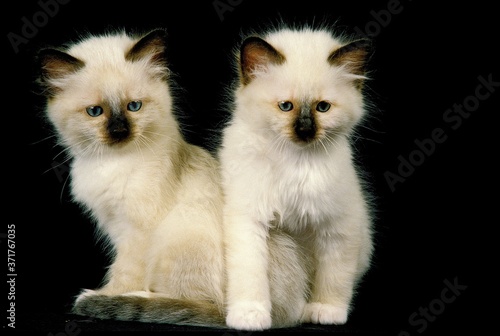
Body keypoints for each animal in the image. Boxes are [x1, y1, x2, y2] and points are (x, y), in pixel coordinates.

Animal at [36, 27, 308, 330]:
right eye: (95, 112)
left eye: (134, 106)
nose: (119, 131)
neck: (112, 161)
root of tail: (282, 313)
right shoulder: (114, 225)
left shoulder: (135, 233)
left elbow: (122, 274)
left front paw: (108, 295)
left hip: (177, 236)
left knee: (207, 307)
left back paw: (140, 298)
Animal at [219, 26, 376, 330]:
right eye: (285, 106)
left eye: (323, 108)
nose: (305, 130)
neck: (295, 161)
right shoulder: (248, 220)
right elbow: (251, 277)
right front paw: (249, 316)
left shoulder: (338, 227)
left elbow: (333, 279)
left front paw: (326, 311)